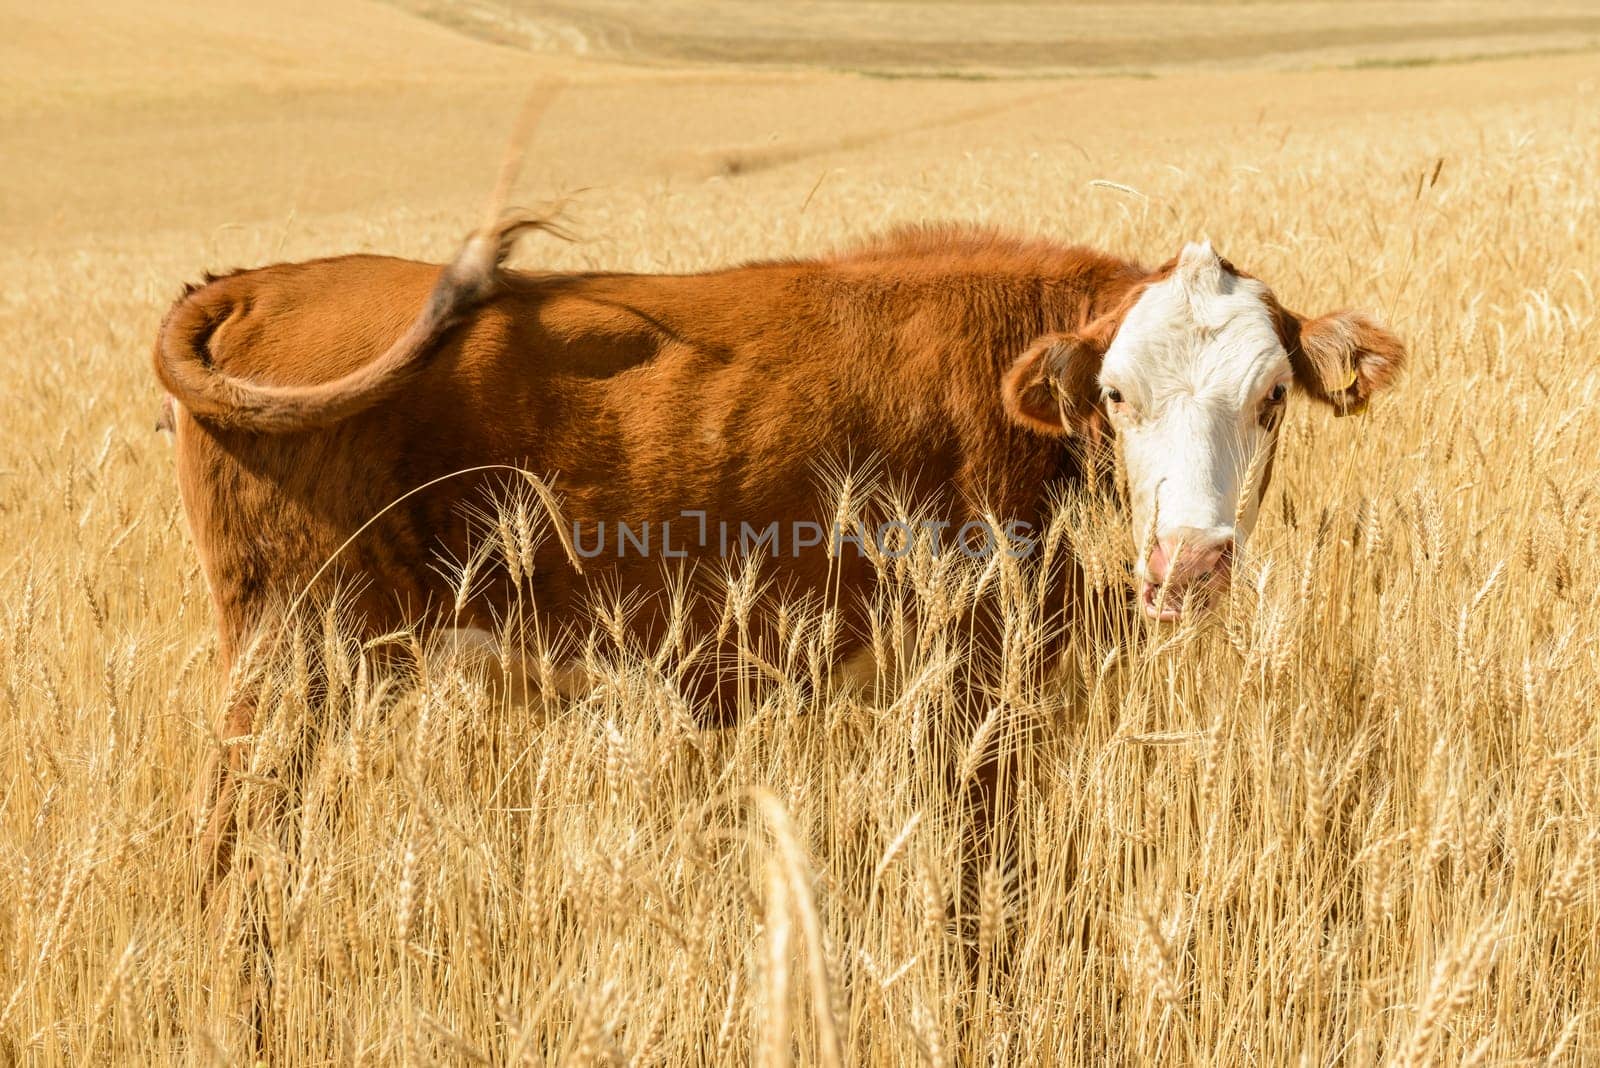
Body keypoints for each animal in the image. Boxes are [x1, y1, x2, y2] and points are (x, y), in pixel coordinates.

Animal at [150, 217, 1401, 876]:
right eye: (1117, 395)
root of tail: (262, 281)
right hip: (290, 662)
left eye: (1270, 397)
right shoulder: (971, 693)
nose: (1189, 561)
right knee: (225, 848)